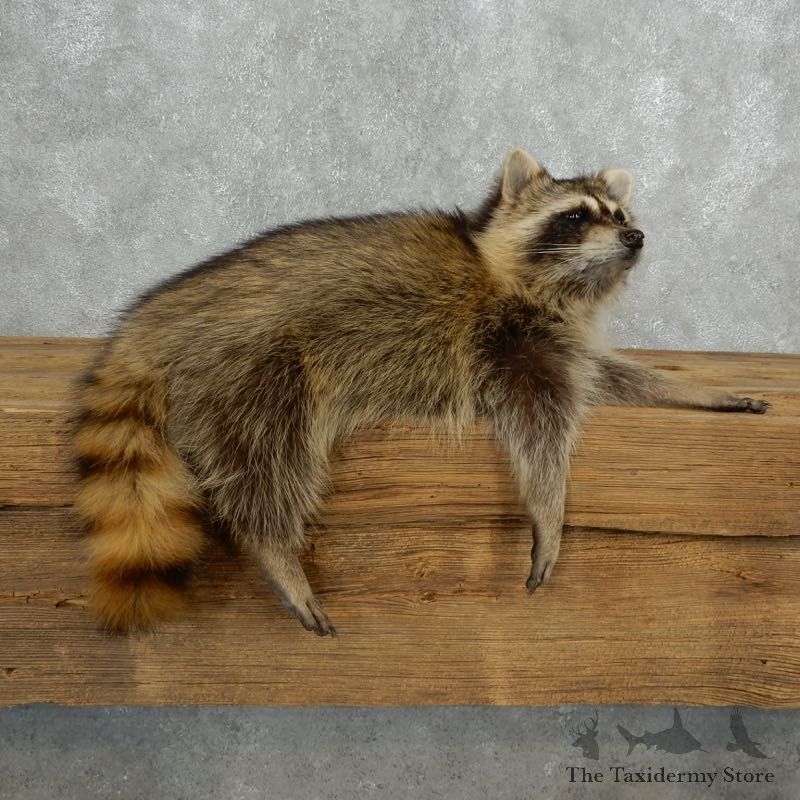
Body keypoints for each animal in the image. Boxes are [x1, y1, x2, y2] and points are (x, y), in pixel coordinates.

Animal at [72, 149, 769, 636]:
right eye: (576, 217)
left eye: (622, 216)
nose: (634, 237)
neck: (541, 288)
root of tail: (144, 329)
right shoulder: (507, 343)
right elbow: (538, 428)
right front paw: (550, 512)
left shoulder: (557, 337)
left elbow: (607, 376)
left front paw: (695, 390)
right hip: (250, 364)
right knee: (265, 454)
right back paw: (274, 549)